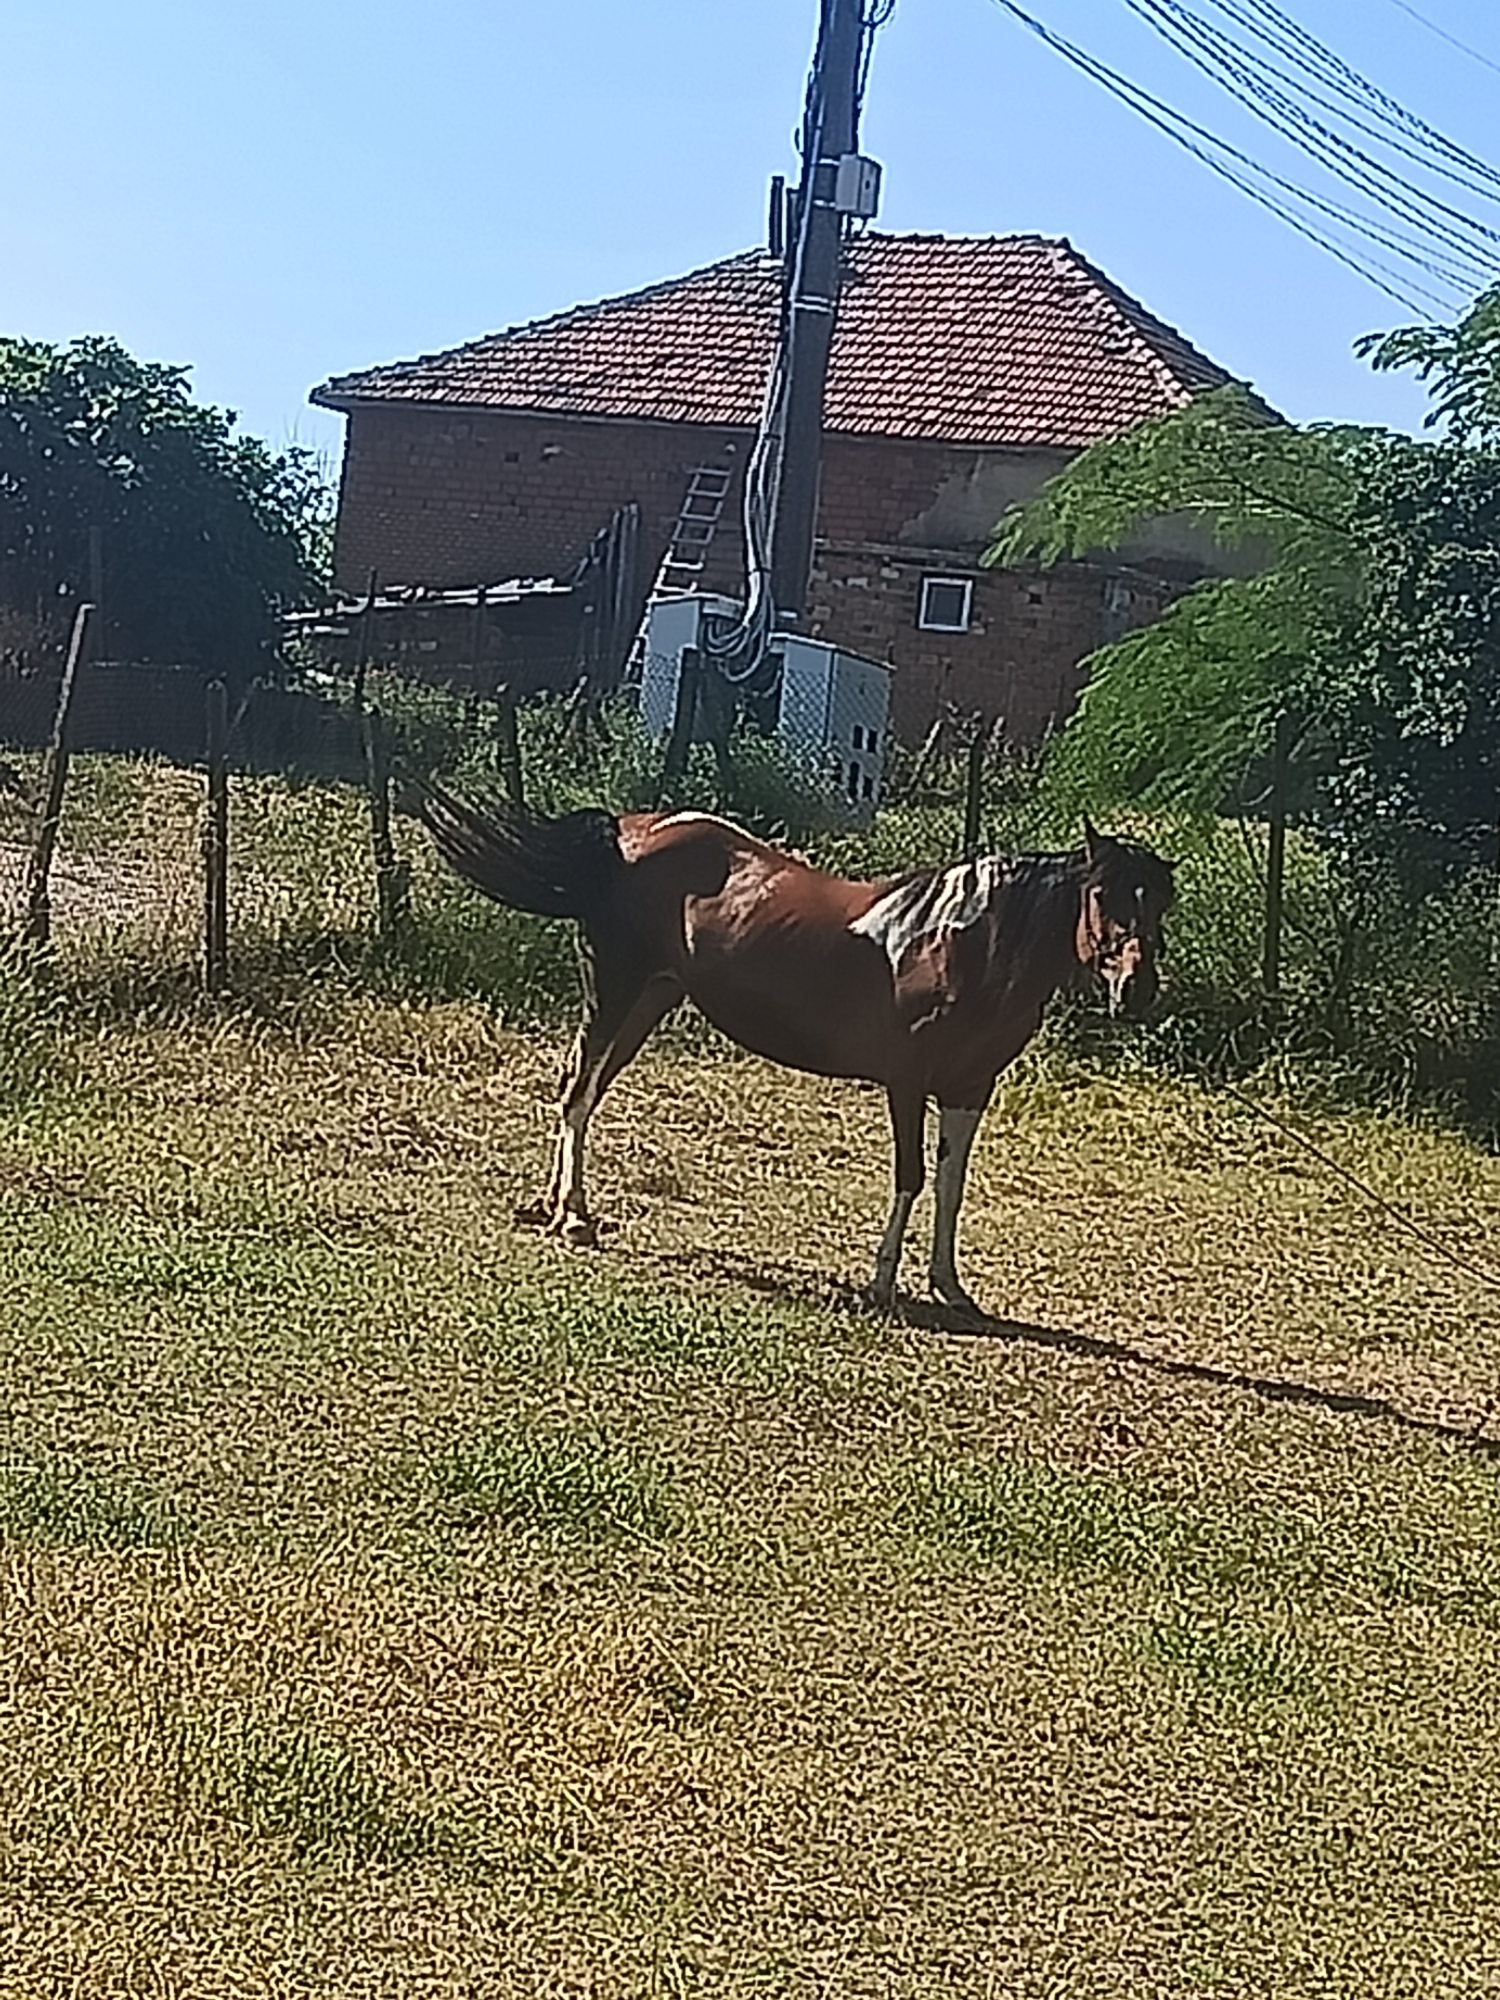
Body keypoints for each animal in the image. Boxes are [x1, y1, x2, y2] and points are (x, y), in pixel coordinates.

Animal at [418, 788, 1173, 1321]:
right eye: (1103, 895)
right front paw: (881, 1282)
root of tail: (630, 834)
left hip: (651, 998)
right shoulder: (907, 1081)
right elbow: (911, 1176)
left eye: (1162, 903)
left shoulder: (969, 1088)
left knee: (584, 1088)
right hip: (615, 989)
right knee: (578, 1092)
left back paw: (557, 1208)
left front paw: (949, 1286)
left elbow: (952, 1187)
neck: (961, 943)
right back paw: (574, 1217)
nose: (1136, 990)